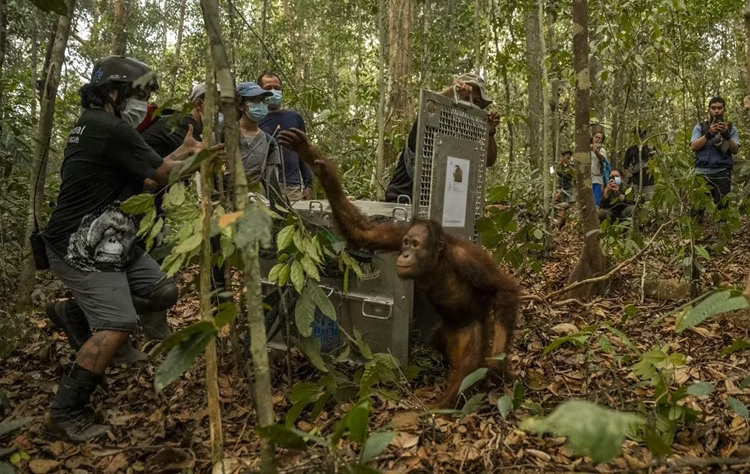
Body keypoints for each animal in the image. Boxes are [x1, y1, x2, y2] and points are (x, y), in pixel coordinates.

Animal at [278, 128, 521, 408]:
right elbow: (363, 232)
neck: (437, 262)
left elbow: (503, 288)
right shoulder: (395, 233)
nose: (405, 254)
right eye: (406, 243)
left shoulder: (469, 259)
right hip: (445, 331)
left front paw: (498, 361)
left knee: (468, 368)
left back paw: (439, 406)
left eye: (415, 245)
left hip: (473, 327)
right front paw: (316, 162)